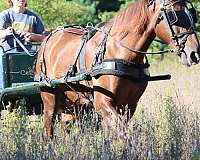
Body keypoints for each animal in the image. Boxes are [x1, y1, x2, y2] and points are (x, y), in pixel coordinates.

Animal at [35, 0, 200, 138]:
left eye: (192, 15)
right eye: (173, 16)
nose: (194, 53)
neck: (122, 52)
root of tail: (48, 37)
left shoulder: (129, 104)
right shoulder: (103, 103)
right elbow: (120, 130)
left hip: (76, 102)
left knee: (66, 125)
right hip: (50, 99)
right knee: (48, 128)